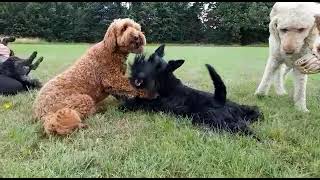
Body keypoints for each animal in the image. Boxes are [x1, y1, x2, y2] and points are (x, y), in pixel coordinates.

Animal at [119, 44, 264, 139]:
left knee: (242, 129)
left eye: (158, 68)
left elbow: (139, 102)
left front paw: (124, 105)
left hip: (212, 119)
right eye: (149, 59)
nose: (139, 75)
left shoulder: (155, 104)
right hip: (241, 109)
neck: (166, 84)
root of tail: (220, 99)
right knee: (255, 111)